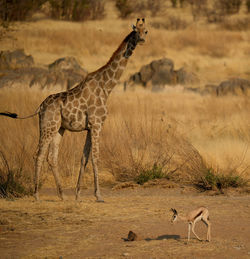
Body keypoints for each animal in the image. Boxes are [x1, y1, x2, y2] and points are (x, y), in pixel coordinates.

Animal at [0, 18, 147, 203]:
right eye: (136, 31)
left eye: (146, 31)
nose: (142, 40)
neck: (106, 87)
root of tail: (40, 107)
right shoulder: (97, 124)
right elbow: (95, 157)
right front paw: (98, 195)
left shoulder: (90, 127)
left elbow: (84, 157)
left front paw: (78, 195)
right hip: (48, 126)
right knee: (38, 155)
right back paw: (37, 195)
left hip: (59, 129)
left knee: (51, 157)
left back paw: (62, 195)